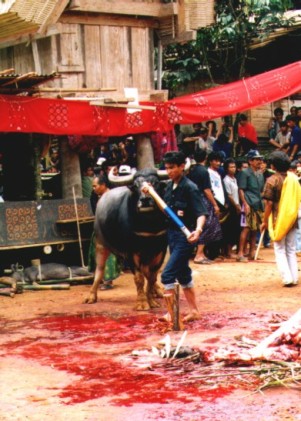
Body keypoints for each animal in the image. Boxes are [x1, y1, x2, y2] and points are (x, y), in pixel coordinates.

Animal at [84, 167, 168, 308]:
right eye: (136, 185)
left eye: (155, 183)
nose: (145, 200)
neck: (149, 225)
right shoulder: (130, 252)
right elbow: (139, 278)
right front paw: (142, 303)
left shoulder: (160, 251)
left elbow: (152, 277)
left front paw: (151, 300)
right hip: (100, 244)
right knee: (99, 271)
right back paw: (91, 296)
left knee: (147, 272)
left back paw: (157, 291)